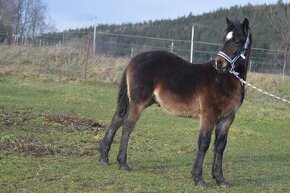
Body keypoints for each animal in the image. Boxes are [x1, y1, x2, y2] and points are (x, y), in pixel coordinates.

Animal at [99, 17, 251, 187]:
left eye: (238, 41)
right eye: (225, 40)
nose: (218, 63)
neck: (224, 79)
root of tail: (134, 59)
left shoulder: (227, 118)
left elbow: (220, 146)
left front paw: (220, 179)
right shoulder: (208, 115)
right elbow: (204, 143)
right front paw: (198, 178)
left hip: (142, 101)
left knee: (117, 119)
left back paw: (104, 157)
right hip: (138, 102)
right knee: (127, 126)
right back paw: (123, 163)